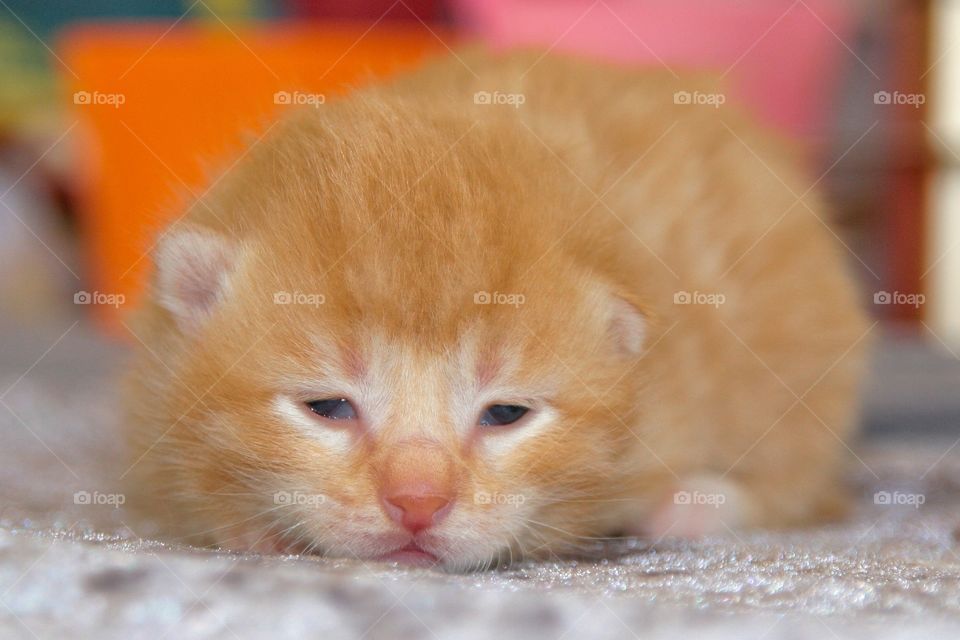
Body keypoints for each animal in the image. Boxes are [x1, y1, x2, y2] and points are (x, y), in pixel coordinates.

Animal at [124, 51, 868, 568]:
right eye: (327, 407)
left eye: (506, 414)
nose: (417, 504)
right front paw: (254, 529)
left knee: (799, 476)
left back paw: (693, 505)